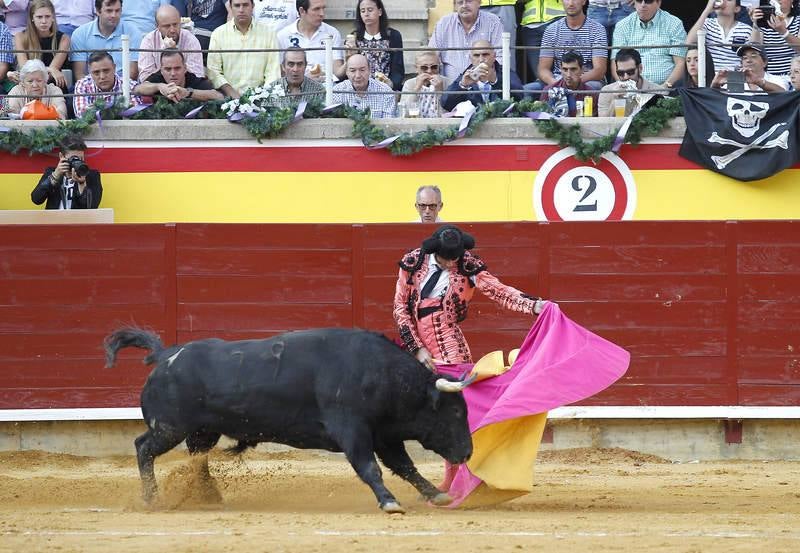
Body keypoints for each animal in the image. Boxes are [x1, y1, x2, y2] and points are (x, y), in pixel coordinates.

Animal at [102, 326, 472, 512]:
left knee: (197, 458)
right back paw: (152, 498)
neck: (379, 372)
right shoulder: (353, 431)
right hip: (170, 427)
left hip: (202, 431)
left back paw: (207, 496)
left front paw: (437, 495)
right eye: (455, 412)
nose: (468, 452)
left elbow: (406, 467)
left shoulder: (384, 435)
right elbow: (370, 468)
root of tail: (166, 355)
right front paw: (389, 502)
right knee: (143, 447)